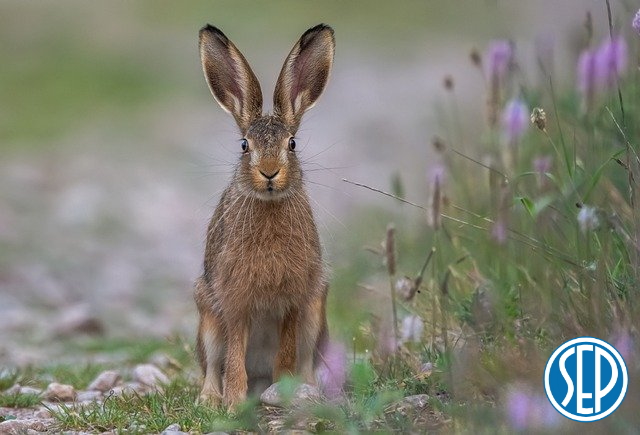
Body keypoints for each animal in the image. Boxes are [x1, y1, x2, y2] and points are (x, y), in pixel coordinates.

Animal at [194, 23, 335, 408]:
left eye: (292, 145)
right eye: (245, 145)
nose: (269, 172)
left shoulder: (294, 302)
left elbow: (285, 354)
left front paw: (283, 391)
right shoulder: (234, 302)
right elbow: (233, 357)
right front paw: (233, 403)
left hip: (316, 313)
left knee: (305, 360)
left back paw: (307, 390)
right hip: (206, 315)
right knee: (212, 364)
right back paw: (210, 398)